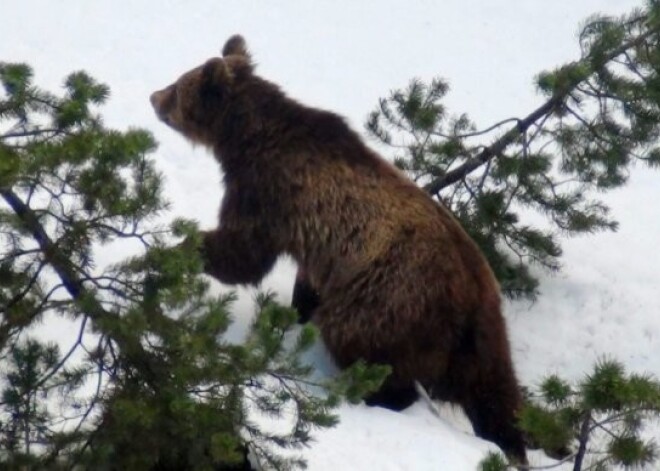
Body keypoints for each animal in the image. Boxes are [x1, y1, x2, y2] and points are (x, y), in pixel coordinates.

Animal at [152, 36, 528, 464]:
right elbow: (301, 280)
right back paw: (510, 443)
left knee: (362, 344)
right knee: (496, 393)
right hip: (483, 335)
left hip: (388, 298)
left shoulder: (267, 191)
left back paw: (372, 395)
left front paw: (177, 248)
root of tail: (471, 292)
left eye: (178, 87)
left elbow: (243, 253)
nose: (154, 96)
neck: (246, 138)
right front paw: (295, 312)